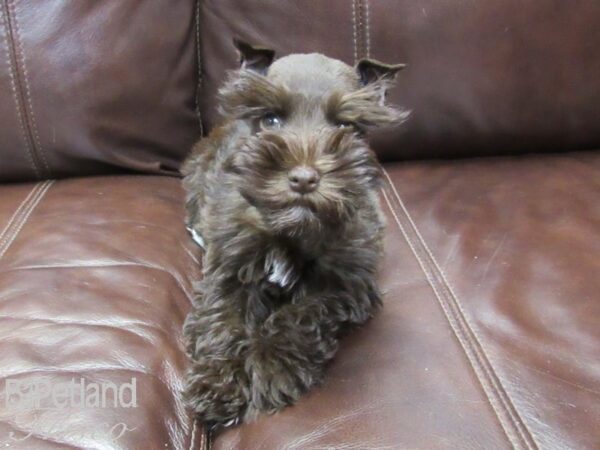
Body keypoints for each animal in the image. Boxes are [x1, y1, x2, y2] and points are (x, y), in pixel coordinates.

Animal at [182, 37, 408, 426]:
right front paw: (217, 384)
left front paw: (271, 368)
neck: (293, 227)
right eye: (271, 119)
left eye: (345, 126)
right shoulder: (229, 268)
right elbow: (223, 320)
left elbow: (299, 316)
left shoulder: (345, 284)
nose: (304, 178)